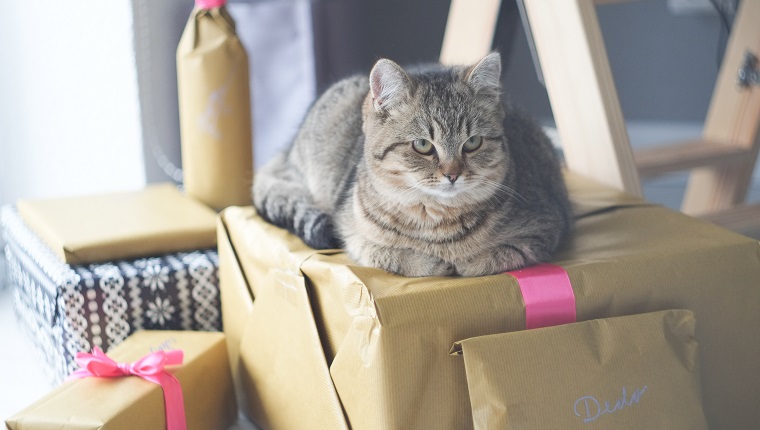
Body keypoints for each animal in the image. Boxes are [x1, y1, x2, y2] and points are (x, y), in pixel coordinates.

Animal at [254, 52, 568, 278]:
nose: (452, 174)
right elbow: (392, 255)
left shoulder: (544, 228)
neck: (437, 222)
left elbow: (491, 257)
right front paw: (434, 263)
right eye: (422, 145)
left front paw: (463, 261)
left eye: (473, 142)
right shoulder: (353, 234)